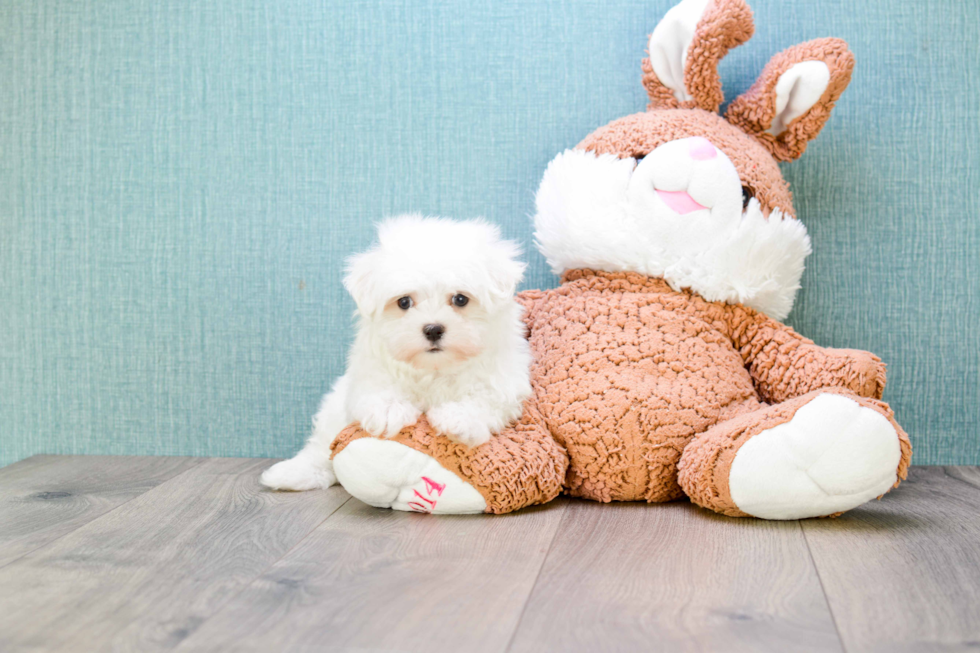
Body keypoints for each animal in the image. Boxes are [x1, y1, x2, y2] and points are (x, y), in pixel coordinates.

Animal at [260, 214, 532, 488]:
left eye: (460, 299)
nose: (433, 329)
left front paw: (458, 417)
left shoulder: (504, 378)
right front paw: (390, 410)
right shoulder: (370, 370)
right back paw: (293, 472)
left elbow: (486, 397)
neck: (434, 368)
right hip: (333, 410)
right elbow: (379, 387)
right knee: (321, 447)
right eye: (404, 302)